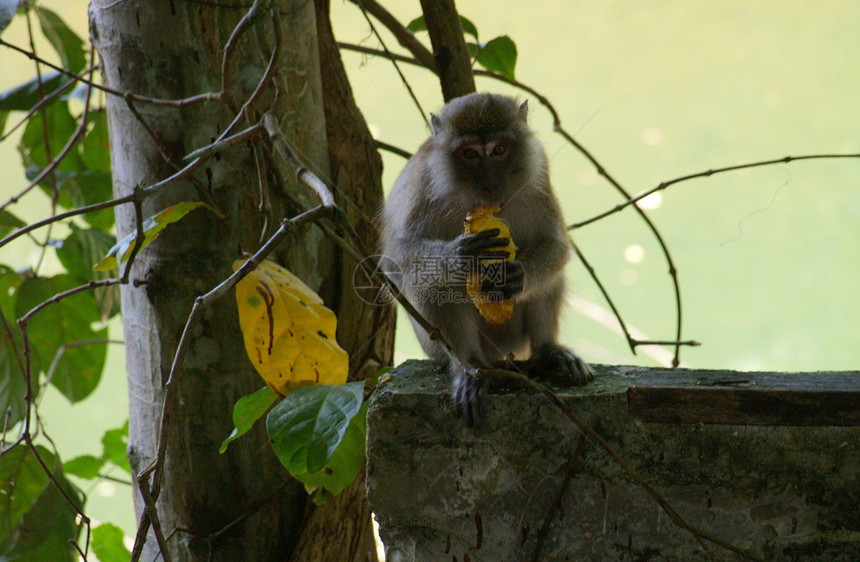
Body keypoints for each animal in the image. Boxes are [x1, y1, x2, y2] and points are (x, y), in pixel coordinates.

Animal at [382, 93, 592, 424]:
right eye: (469, 154)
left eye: (499, 150)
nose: (490, 184)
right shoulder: (423, 183)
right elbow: (398, 258)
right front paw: (460, 256)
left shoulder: (538, 173)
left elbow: (555, 245)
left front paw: (516, 276)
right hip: (437, 347)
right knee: (434, 285)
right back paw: (471, 369)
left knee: (550, 277)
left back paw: (548, 351)